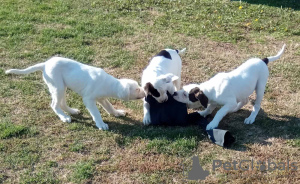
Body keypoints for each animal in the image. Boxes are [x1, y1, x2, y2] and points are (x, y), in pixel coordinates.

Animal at [4, 56, 145, 130]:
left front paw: (117, 113)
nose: (145, 91)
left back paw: (72, 111)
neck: (108, 83)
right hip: (58, 87)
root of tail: (45, 64)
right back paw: (64, 117)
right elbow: (96, 113)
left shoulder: (102, 98)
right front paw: (101, 124)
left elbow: (109, 107)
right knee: (54, 105)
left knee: (61, 103)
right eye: (137, 89)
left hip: (62, 87)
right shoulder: (88, 100)